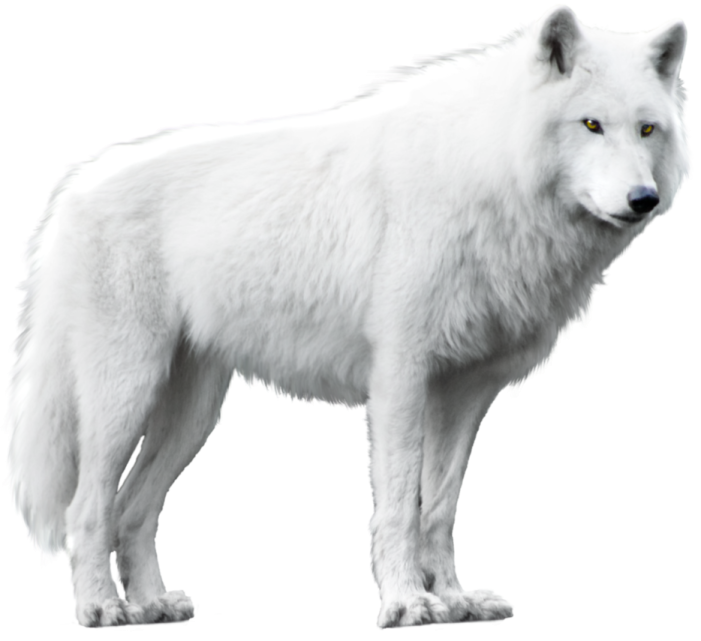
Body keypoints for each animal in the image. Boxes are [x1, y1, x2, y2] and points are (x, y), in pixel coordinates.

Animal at [4, 3, 692, 630]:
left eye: (647, 130)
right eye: (591, 124)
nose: (643, 199)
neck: (489, 173)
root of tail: (74, 189)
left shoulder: (466, 391)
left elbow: (440, 508)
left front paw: (455, 600)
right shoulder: (401, 378)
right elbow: (400, 505)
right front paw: (408, 604)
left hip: (193, 417)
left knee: (132, 510)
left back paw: (151, 605)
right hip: (126, 396)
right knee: (87, 509)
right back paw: (102, 608)